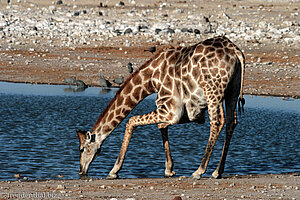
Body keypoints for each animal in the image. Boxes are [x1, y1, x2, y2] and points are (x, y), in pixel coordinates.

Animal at [77, 34, 246, 180]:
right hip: (232, 90)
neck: (151, 79)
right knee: (231, 122)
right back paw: (217, 171)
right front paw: (169, 169)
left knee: (217, 122)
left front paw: (114, 170)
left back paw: (199, 170)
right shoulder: (183, 113)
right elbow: (161, 126)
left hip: (213, 91)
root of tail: (235, 52)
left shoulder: (172, 110)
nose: (81, 171)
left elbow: (131, 121)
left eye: (82, 149)